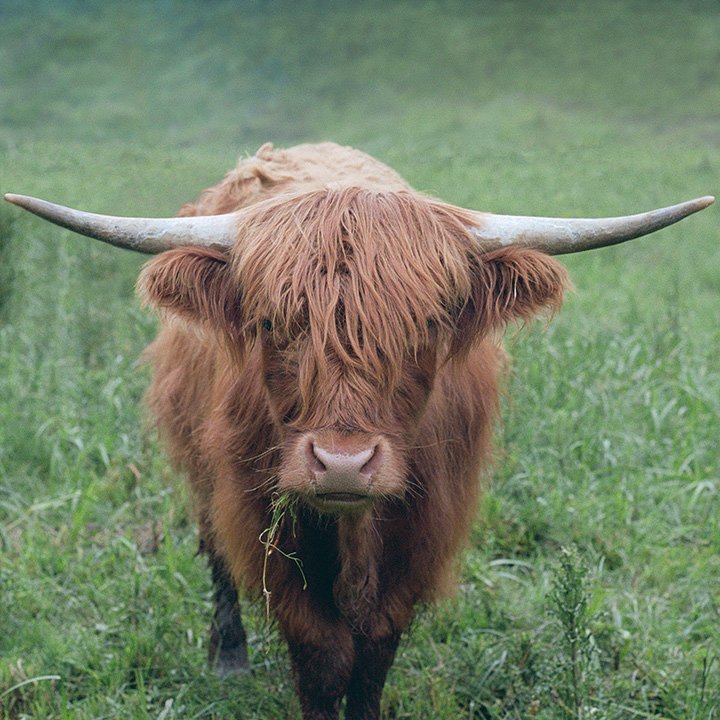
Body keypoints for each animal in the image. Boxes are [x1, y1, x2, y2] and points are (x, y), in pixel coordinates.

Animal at [5, 142, 713, 720]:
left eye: (428, 323)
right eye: (270, 322)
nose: (342, 464)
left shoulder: (424, 529)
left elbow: (372, 656)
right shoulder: (265, 523)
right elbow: (321, 657)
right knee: (214, 552)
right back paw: (228, 658)